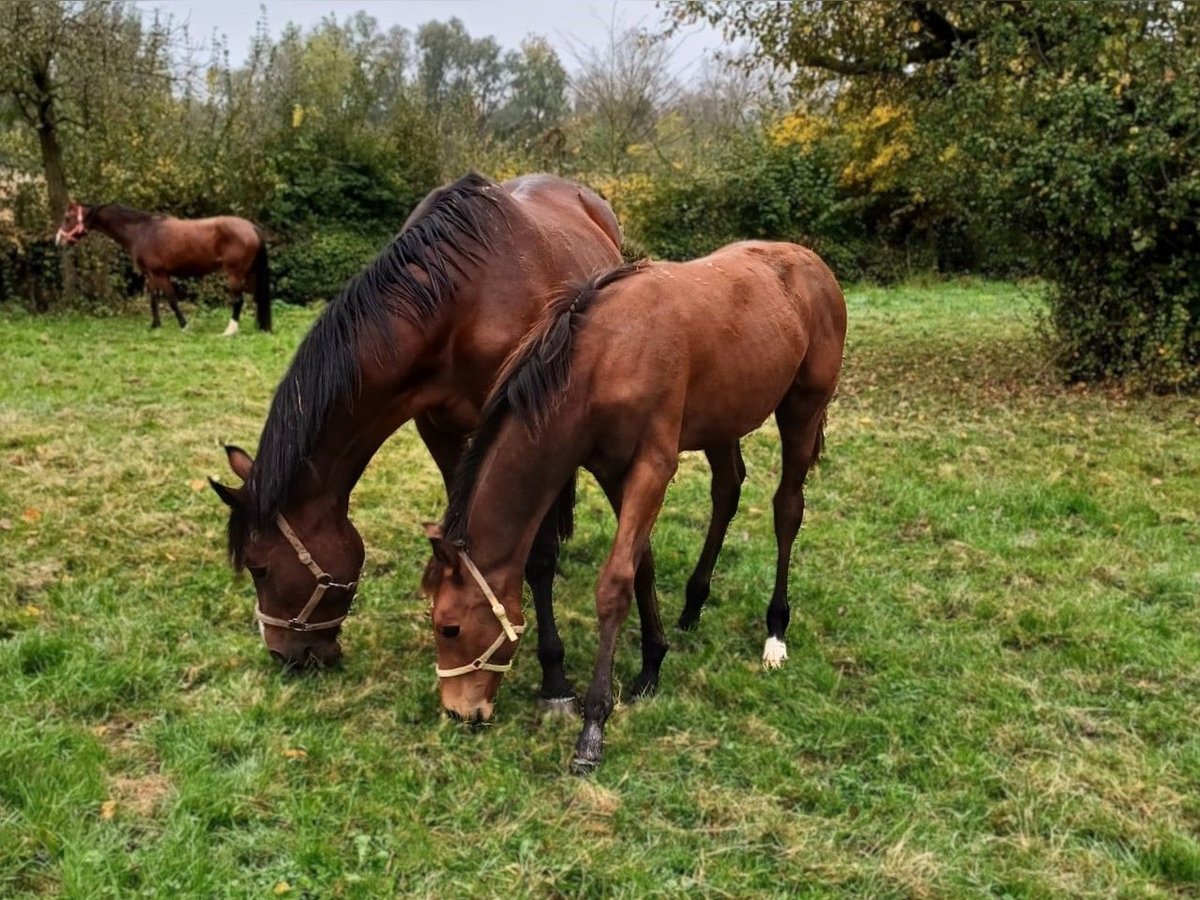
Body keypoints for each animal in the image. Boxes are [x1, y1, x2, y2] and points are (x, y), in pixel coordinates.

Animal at [55, 200, 270, 336]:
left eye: (67, 217)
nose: (58, 240)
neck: (142, 230)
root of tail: (252, 227)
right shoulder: (150, 275)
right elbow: (153, 300)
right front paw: (155, 325)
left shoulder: (160, 274)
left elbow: (172, 299)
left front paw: (184, 326)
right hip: (250, 273)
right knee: (257, 297)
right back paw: (259, 327)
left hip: (235, 274)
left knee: (238, 300)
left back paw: (229, 331)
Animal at [427, 241, 849, 777]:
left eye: (450, 627)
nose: (458, 711)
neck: (605, 357)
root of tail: (812, 262)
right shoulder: (613, 469)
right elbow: (641, 563)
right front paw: (652, 663)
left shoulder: (653, 466)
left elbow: (614, 584)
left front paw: (593, 727)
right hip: (723, 422)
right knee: (727, 492)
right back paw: (693, 605)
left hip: (802, 410)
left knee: (787, 510)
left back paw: (775, 631)